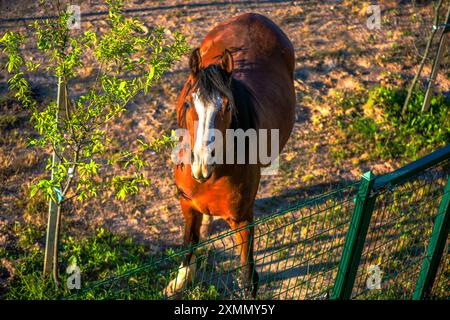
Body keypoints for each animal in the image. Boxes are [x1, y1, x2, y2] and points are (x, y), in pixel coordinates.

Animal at [165, 12, 296, 298]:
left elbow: (247, 269)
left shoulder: (242, 220)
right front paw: (180, 282)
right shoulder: (188, 205)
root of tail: (254, 16)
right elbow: (189, 242)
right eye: (189, 103)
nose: (201, 163)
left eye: (226, 106)